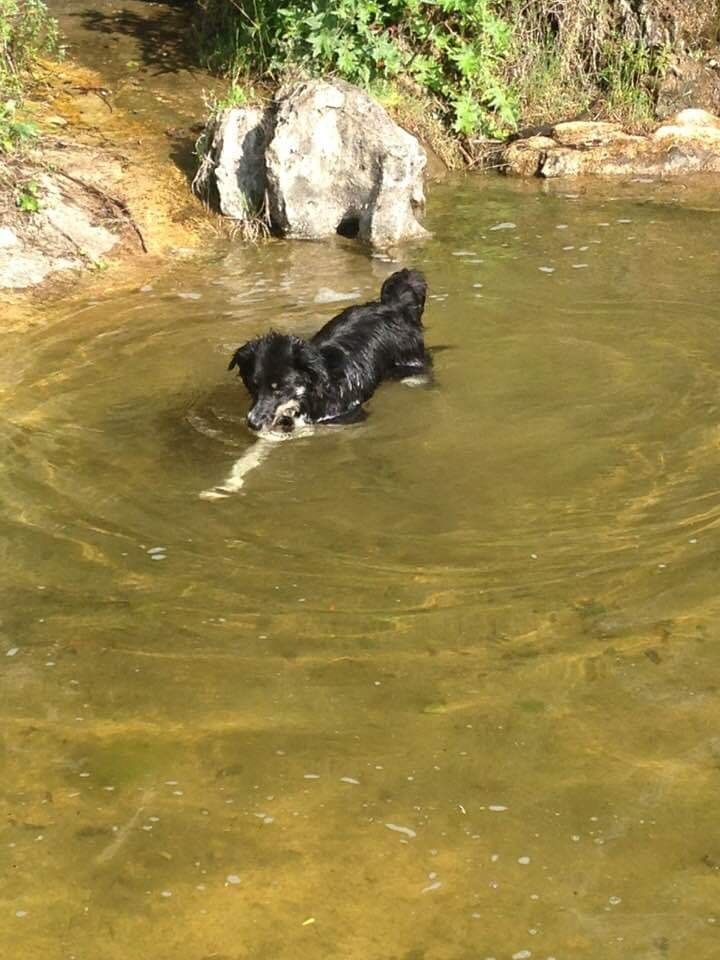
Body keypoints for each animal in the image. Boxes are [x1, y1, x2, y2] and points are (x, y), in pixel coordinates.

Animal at [228, 270, 428, 436]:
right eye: (253, 386)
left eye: (279, 389)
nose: (253, 424)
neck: (313, 392)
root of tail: (393, 305)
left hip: (411, 359)